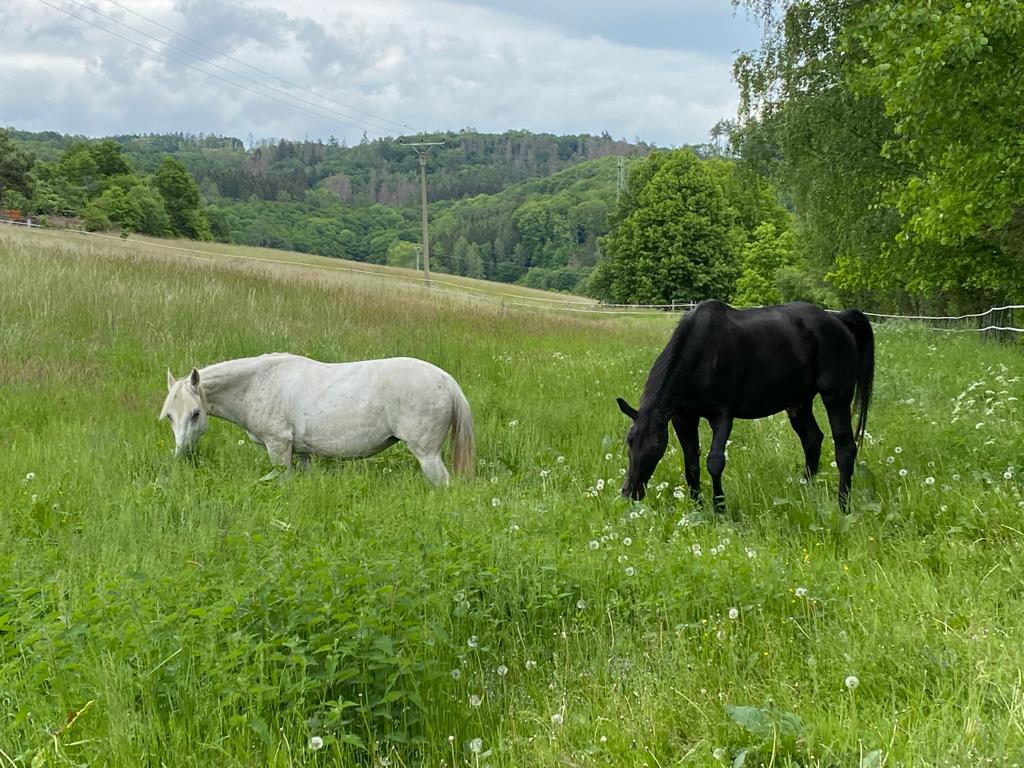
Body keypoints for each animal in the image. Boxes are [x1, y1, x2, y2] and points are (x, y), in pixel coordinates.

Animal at [158, 356, 475, 487]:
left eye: (195, 413)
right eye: (170, 416)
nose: (182, 455)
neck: (258, 382)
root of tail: (446, 380)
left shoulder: (279, 447)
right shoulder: (303, 453)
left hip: (427, 455)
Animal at [614, 303, 872, 514]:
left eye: (656, 446)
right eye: (629, 441)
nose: (630, 492)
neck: (701, 353)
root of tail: (838, 319)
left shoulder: (722, 416)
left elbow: (714, 462)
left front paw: (720, 509)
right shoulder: (683, 418)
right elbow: (692, 466)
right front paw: (697, 508)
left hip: (836, 397)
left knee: (845, 449)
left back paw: (843, 506)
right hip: (799, 403)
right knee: (812, 440)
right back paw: (805, 493)